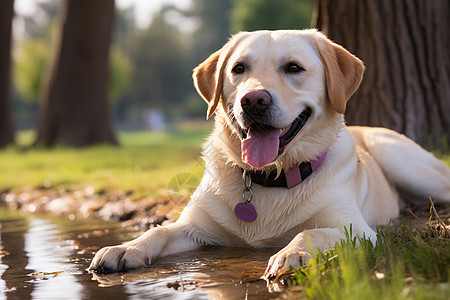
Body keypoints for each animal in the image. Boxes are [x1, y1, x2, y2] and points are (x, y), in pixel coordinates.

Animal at [89, 29, 450, 278]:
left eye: (293, 67)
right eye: (238, 69)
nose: (253, 100)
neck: (269, 177)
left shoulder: (356, 230)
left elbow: (311, 231)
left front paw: (292, 254)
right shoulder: (195, 226)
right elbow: (160, 229)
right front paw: (126, 248)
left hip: (404, 162)